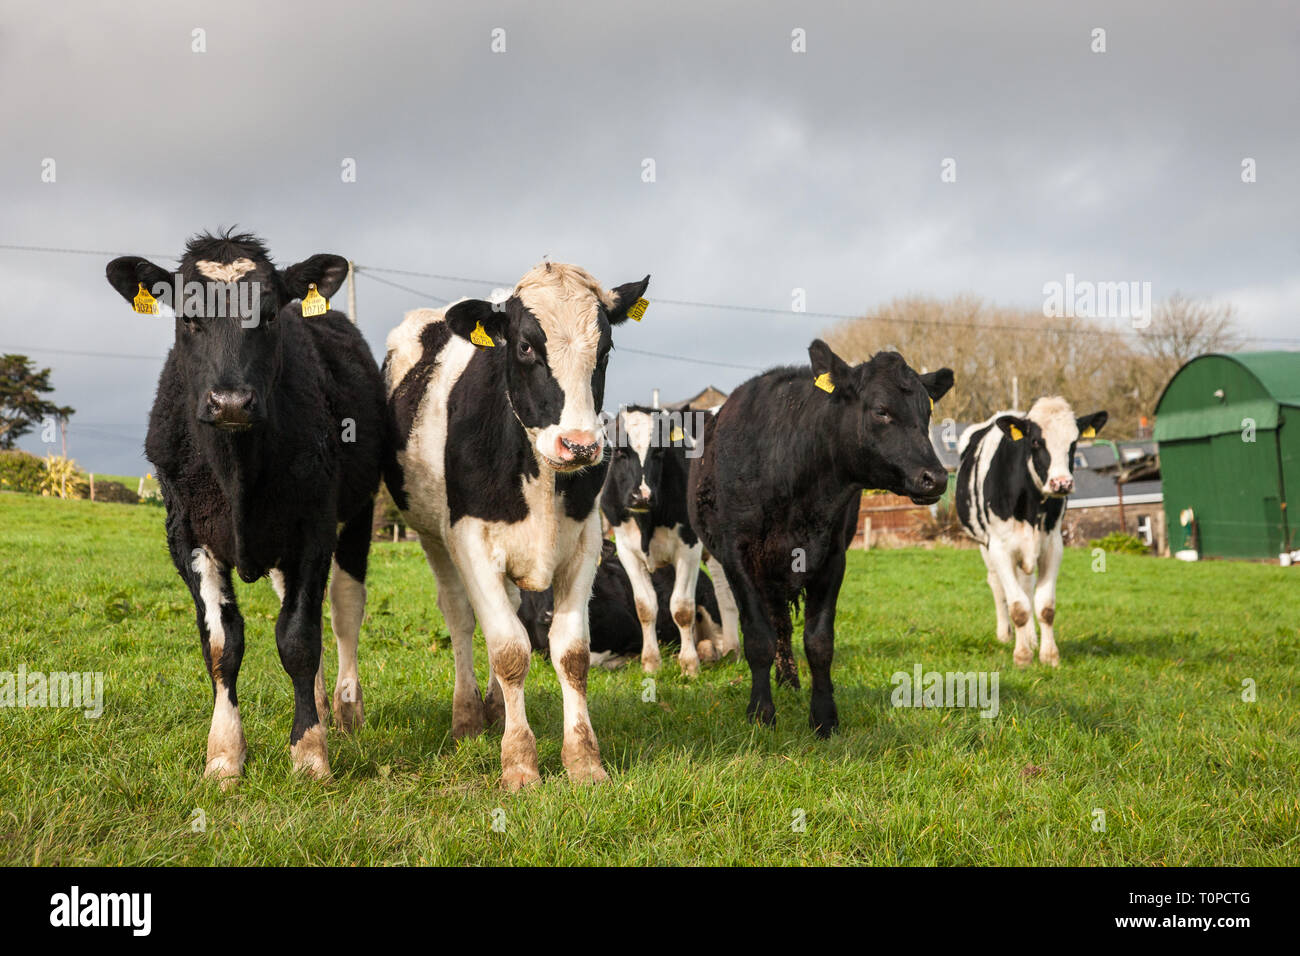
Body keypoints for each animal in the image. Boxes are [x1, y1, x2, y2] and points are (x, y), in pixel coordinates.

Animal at [104, 230, 384, 785]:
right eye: (188, 316)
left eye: (271, 314)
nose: (230, 402)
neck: (235, 472)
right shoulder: (186, 535)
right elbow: (222, 645)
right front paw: (225, 754)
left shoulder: (314, 527)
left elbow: (298, 639)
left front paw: (309, 752)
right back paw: (321, 703)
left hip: (359, 513)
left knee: (343, 611)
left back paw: (345, 710)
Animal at [382, 261, 650, 790]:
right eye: (526, 346)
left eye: (605, 348)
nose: (580, 444)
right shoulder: (469, 541)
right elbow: (509, 650)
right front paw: (520, 762)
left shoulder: (586, 544)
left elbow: (571, 653)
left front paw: (583, 760)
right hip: (432, 537)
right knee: (461, 619)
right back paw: (468, 716)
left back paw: (491, 707)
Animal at [691, 340, 956, 738]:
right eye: (881, 410)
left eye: (927, 413)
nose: (936, 478)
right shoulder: (738, 556)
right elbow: (758, 638)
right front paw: (761, 714)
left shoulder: (832, 557)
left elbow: (819, 641)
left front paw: (824, 717)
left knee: (783, 624)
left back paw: (790, 681)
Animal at [956, 395, 1107, 665]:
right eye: (1036, 441)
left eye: (1074, 442)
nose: (1062, 483)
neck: (1030, 506)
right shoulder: (999, 547)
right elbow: (1017, 606)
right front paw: (1022, 656)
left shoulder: (1053, 545)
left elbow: (1044, 606)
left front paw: (1048, 655)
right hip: (984, 544)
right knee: (997, 585)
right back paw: (1006, 635)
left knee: (1026, 586)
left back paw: (1032, 638)